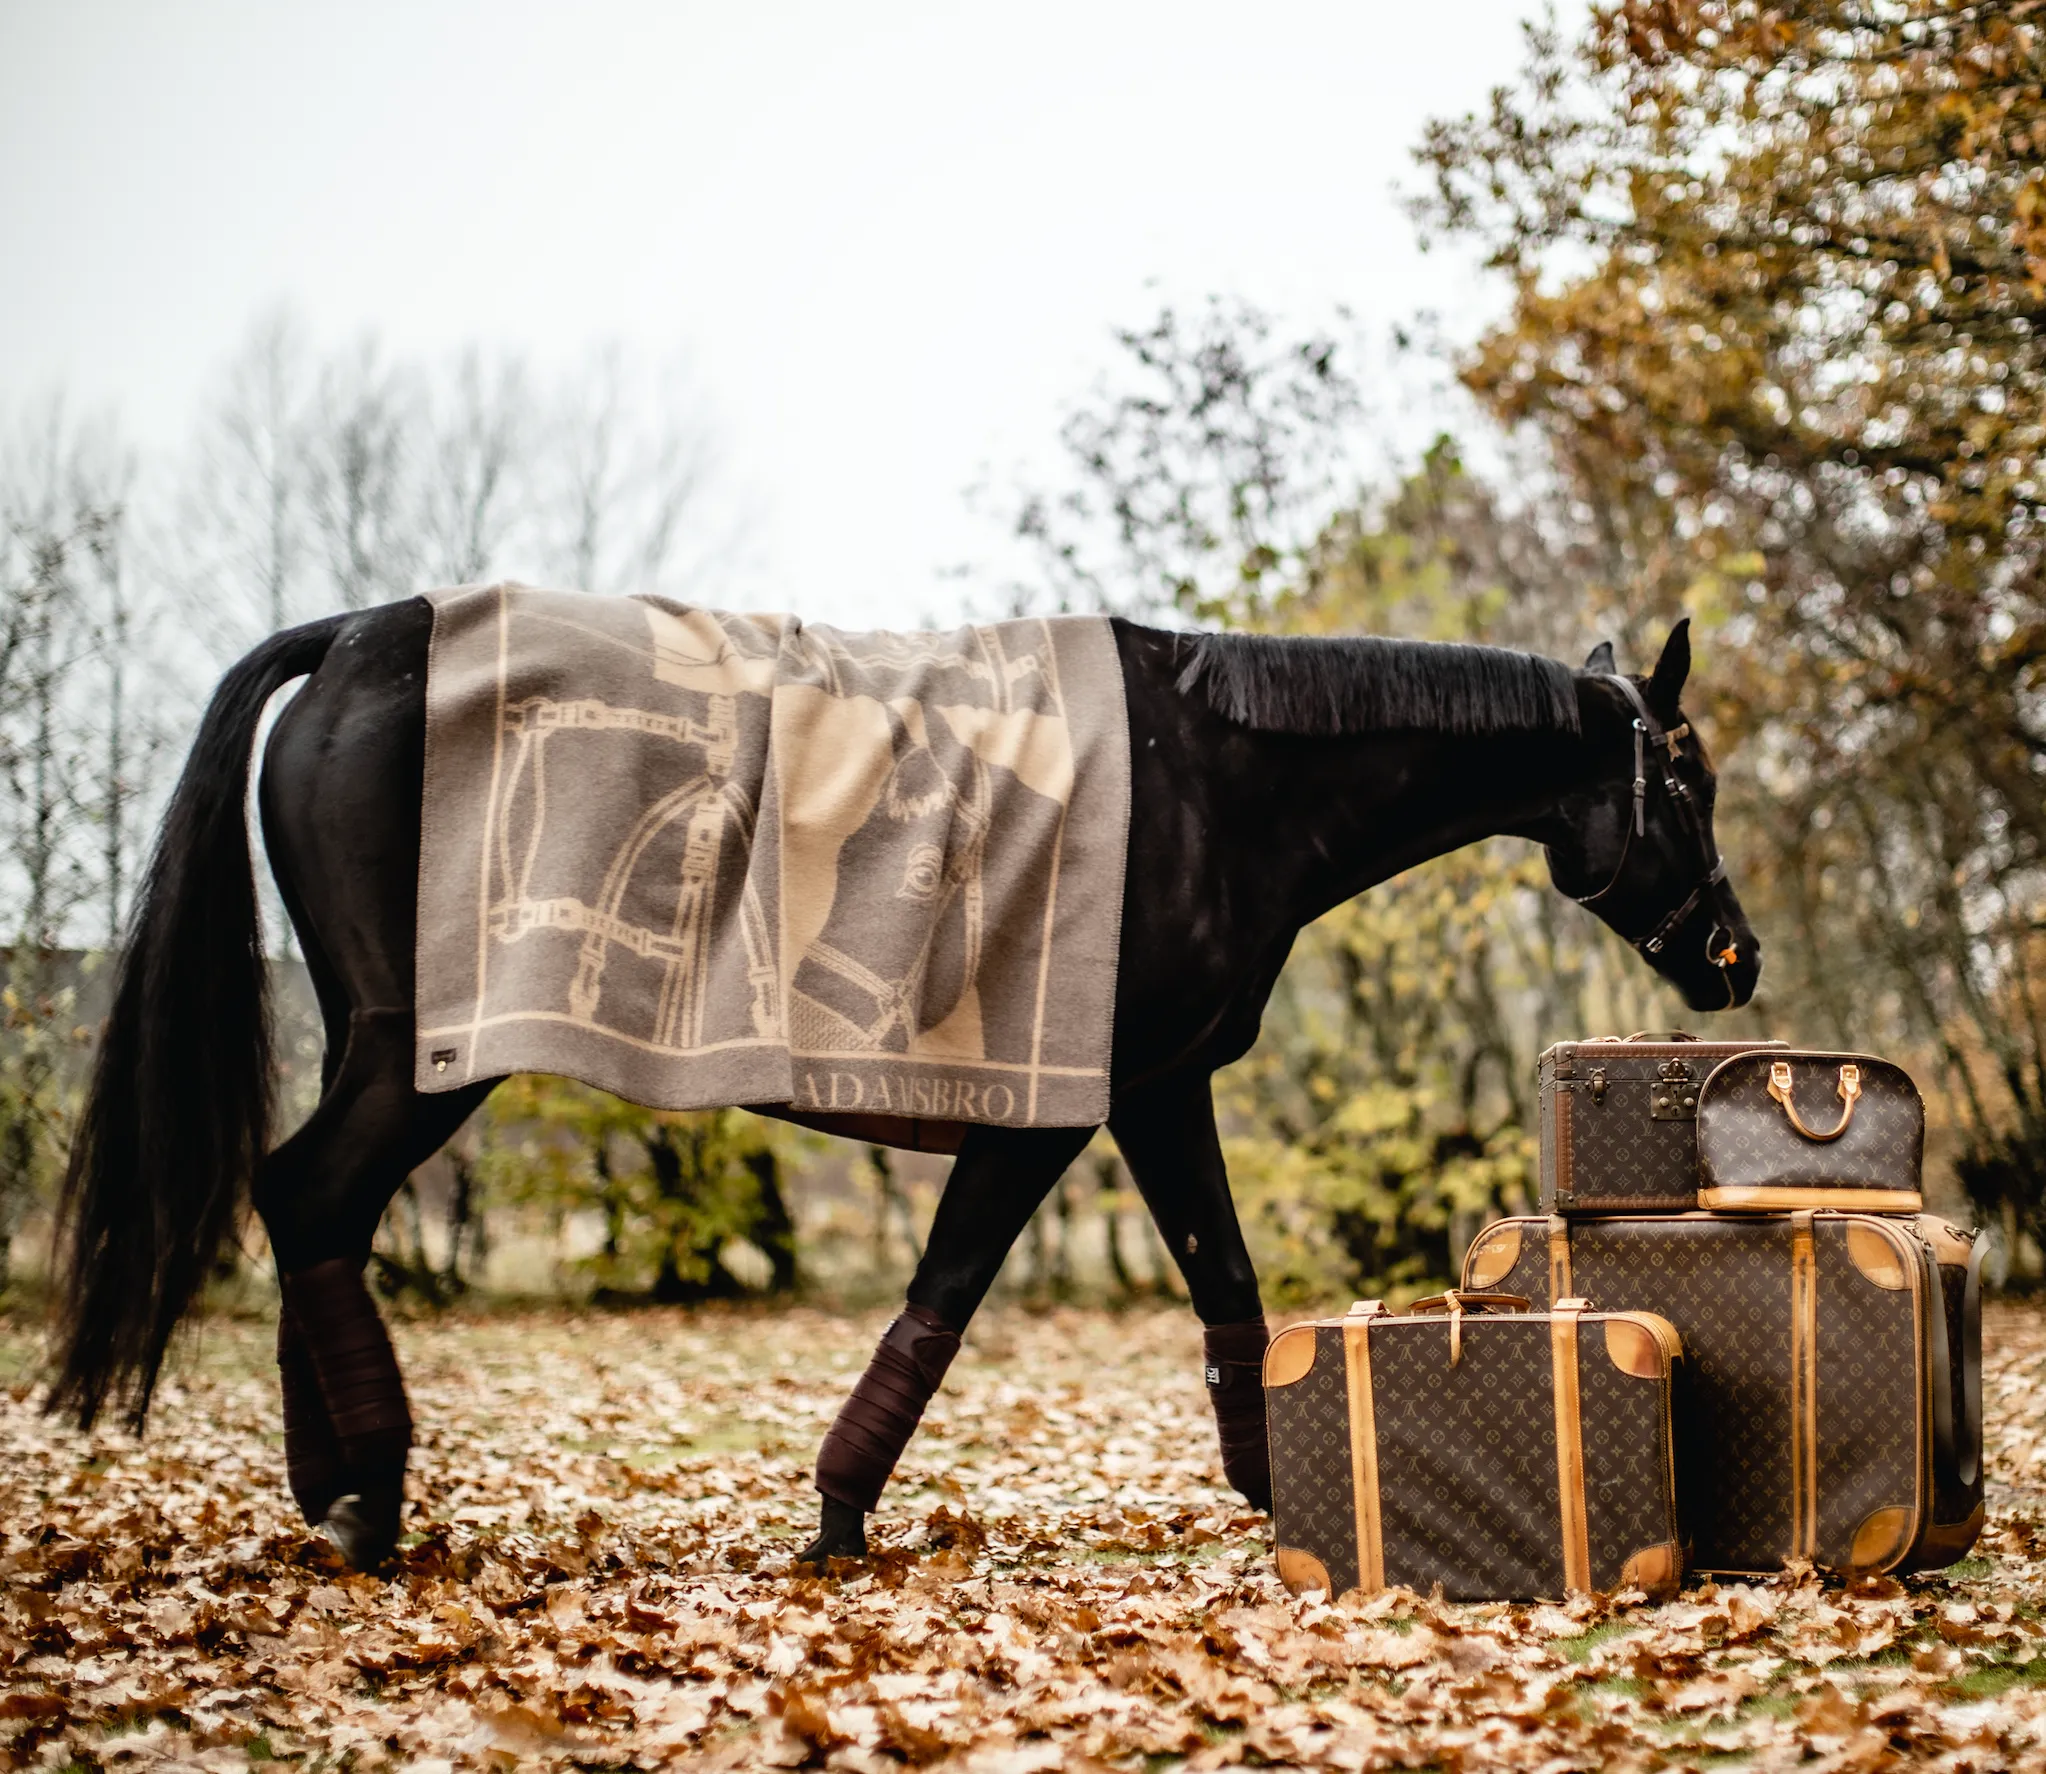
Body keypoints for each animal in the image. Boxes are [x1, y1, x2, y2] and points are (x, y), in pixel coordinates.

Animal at [43, 601, 1759, 1571]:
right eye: (1683, 773)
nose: (1732, 959)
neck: (1211, 778)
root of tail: (348, 641)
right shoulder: (1066, 1107)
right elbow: (949, 1295)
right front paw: (835, 1519)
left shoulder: (1155, 1092)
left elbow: (1222, 1294)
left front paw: (1284, 1494)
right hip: (422, 1055)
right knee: (309, 1198)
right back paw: (372, 1494)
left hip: (380, 1045)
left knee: (304, 1208)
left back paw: (328, 1488)